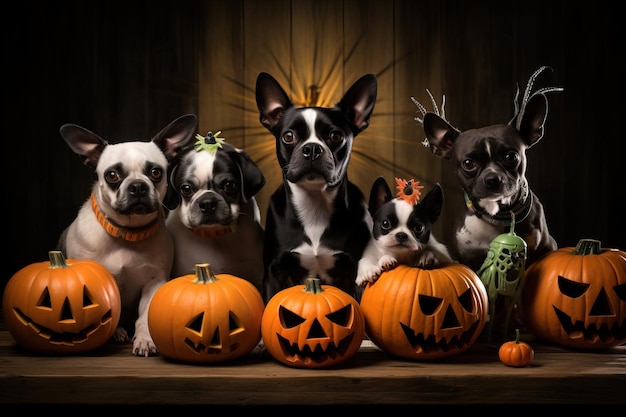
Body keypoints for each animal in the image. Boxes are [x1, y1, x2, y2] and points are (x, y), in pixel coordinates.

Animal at [58, 113, 197, 354]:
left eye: (155, 172)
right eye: (112, 175)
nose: (138, 186)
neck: (127, 233)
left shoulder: (154, 282)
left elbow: (145, 316)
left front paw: (146, 340)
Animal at [254, 71, 376, 302]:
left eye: (336, 136)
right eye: (288, 136)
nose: (312, 148)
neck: (314, 203)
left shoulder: (358, 272)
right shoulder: (274, 272)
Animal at [410, 66, 560, 272]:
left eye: (511, 157)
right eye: (468, 163)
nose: (492, 178)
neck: (497, 215)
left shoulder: (544, 249)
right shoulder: (467, 258)